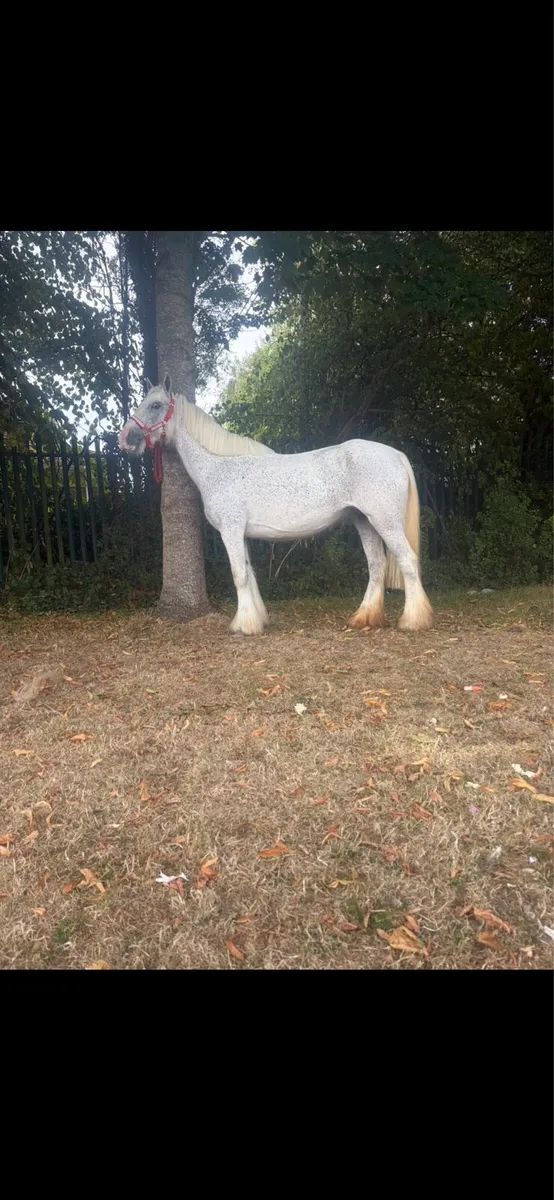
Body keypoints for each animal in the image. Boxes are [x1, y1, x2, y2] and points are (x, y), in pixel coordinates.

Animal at [119, 374, 434, 636]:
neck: (218, 466)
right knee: (376, 566)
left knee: (407, 561)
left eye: (156, 405)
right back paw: (364, 619)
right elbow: (249, 574)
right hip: (364, 521)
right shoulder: (241, 534)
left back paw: (413, 621)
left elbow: (239, 575)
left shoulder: (231, 531)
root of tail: (395, 454)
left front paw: (244, 627)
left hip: (385, 522)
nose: (125, 439)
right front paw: (255, 619)